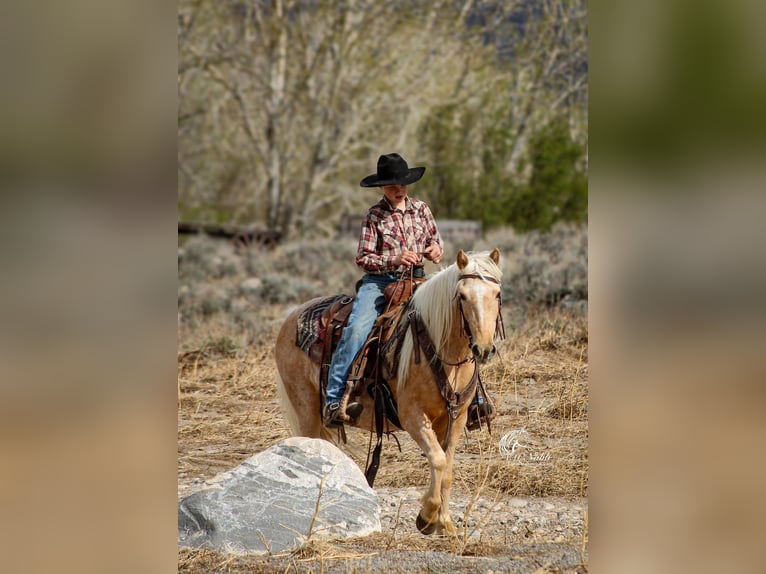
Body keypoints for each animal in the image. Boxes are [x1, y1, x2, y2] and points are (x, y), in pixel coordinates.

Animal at [275, 248, 503, 535]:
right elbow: (438, 459)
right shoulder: (413, 416)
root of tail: (290, 317)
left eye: (497, 294)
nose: (484, 349)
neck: (441, 352)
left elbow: (447, 468)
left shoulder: (457, 418)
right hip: (305, 408)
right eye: (462, 296)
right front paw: (426, 516)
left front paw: (444, 522)